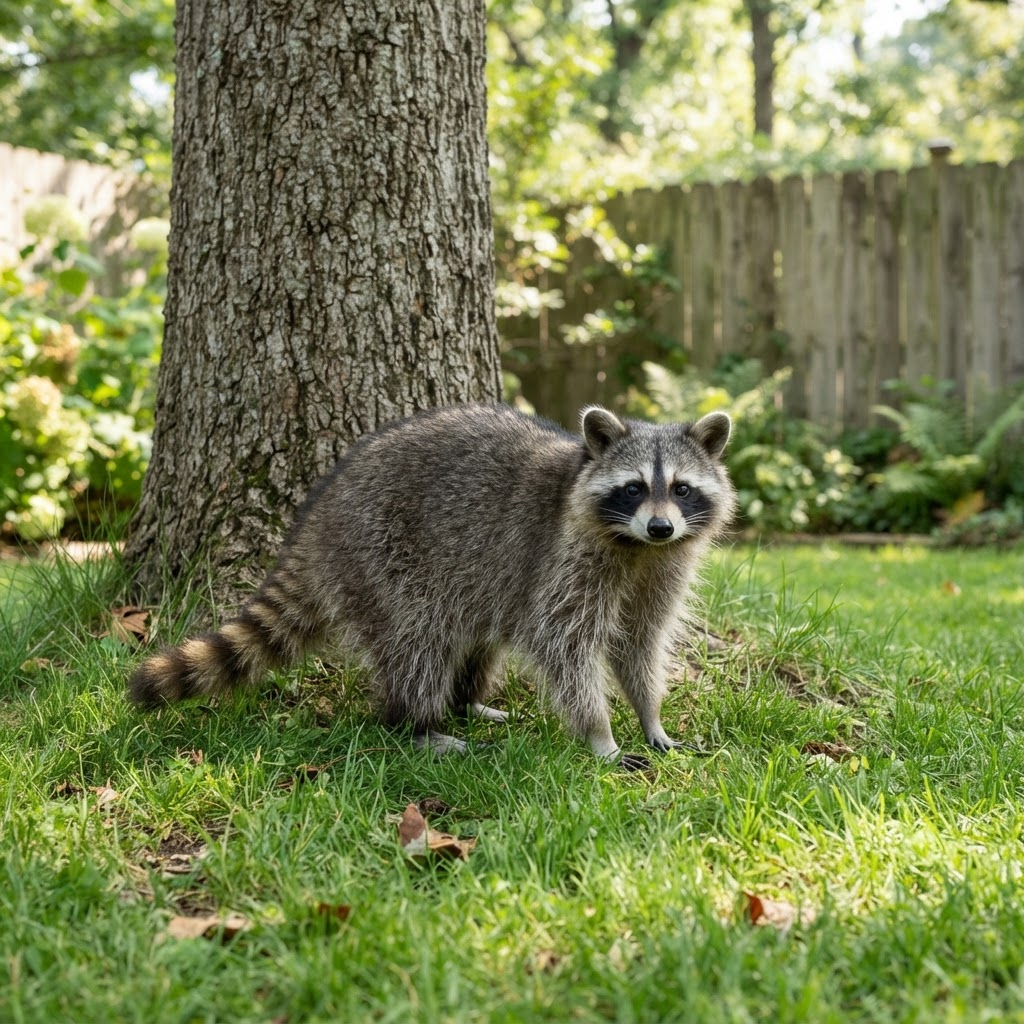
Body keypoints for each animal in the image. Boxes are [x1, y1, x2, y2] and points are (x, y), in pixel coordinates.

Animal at [129, 403, 735, 765]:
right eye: (633, 489)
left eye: (681, 489)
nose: (661, 526)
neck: (636, 548)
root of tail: (319, 514)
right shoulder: (566, 558)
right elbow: (563, 643)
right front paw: (600, 735)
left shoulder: (663, 567)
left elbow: (640, 642)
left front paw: (650, 714)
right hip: (382, 555)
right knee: (419, 641)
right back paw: (416, 722)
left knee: (476, 638)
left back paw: (467, 700)